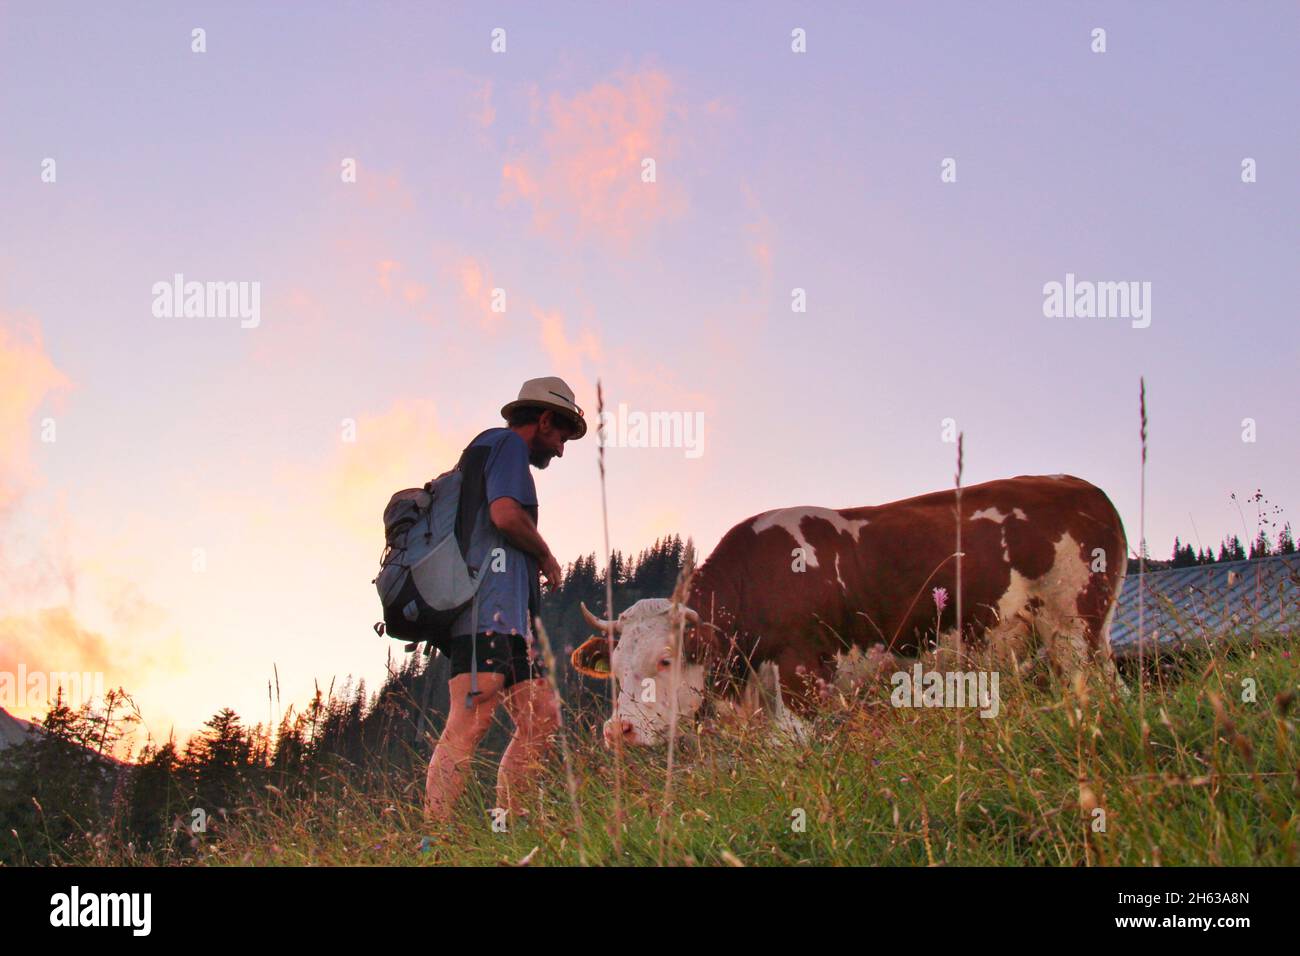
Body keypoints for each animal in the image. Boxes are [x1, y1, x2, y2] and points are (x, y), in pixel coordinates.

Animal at [569, 476, 1128, 743]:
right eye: (613, 669)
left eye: (665, 659)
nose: (618, 731)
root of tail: (1082, 486)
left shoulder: (801, 679)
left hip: (1075, 627)